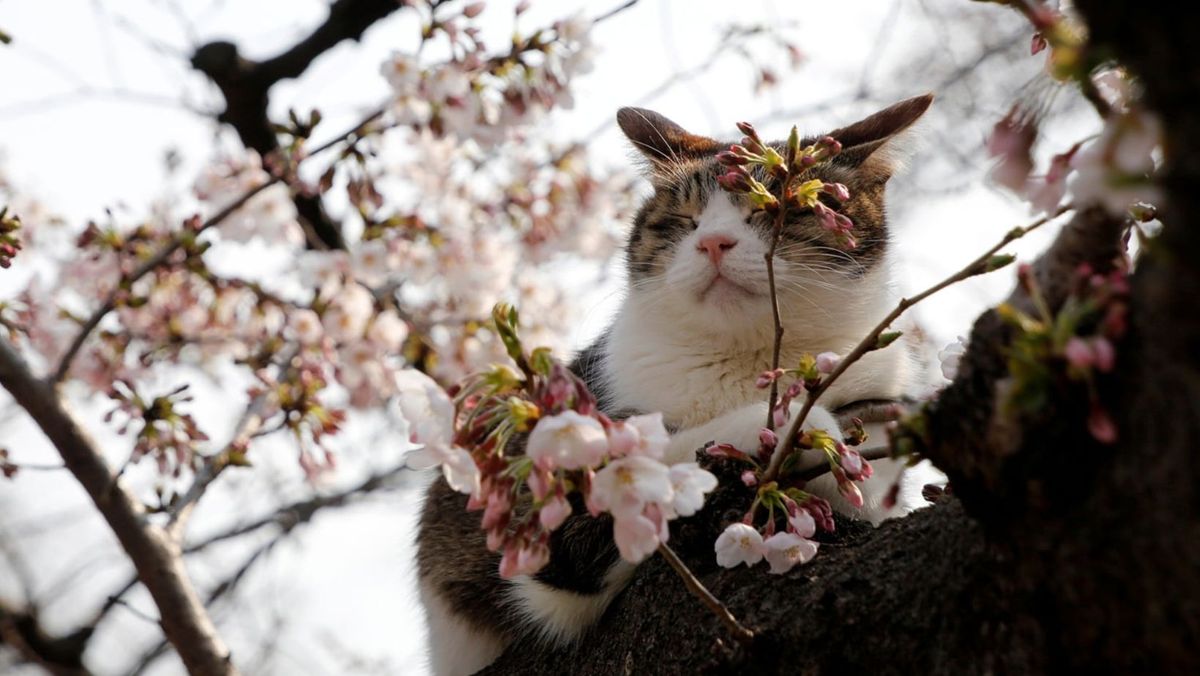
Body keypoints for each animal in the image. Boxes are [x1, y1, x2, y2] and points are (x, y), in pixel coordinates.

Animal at [420, 95, 936, 676]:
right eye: (684, 221)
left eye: (776, 210)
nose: (712, 242)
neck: (748, 359)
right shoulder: (550, 544)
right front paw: (795, 426)